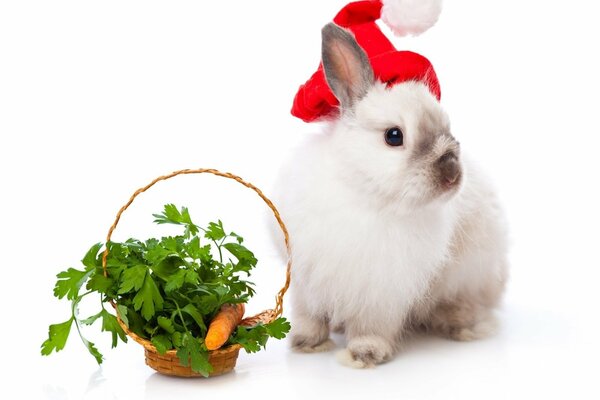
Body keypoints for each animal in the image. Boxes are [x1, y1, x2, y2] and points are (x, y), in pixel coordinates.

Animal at [274, 23, 508, 368]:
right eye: (394, 136)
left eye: (448, 128)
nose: (452, 175)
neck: (364, 193)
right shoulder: (306, 279)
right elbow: (309, 315)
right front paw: (305, 342)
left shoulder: (382, 291)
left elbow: (370, 326)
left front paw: (365, 354)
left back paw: (457, 323)